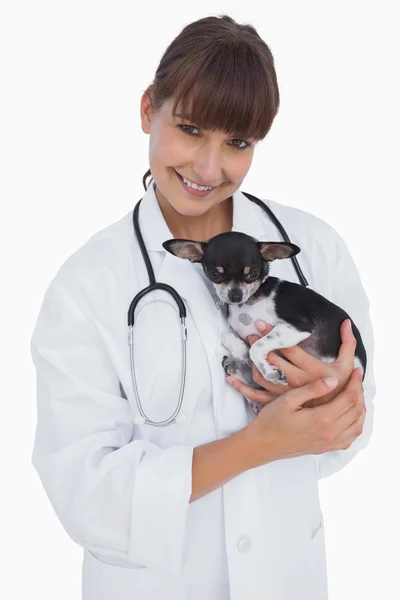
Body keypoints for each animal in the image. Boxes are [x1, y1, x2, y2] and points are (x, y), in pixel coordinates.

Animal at [162, 232, 366, 414]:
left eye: (252, 274)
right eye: (214, 274)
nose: (235, 296)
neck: (248, 303)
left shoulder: (298, 327)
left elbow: (257, 345)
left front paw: (267, 371)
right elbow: (227, 334)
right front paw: (242, 353)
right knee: (254, 403)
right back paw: (233, 370)